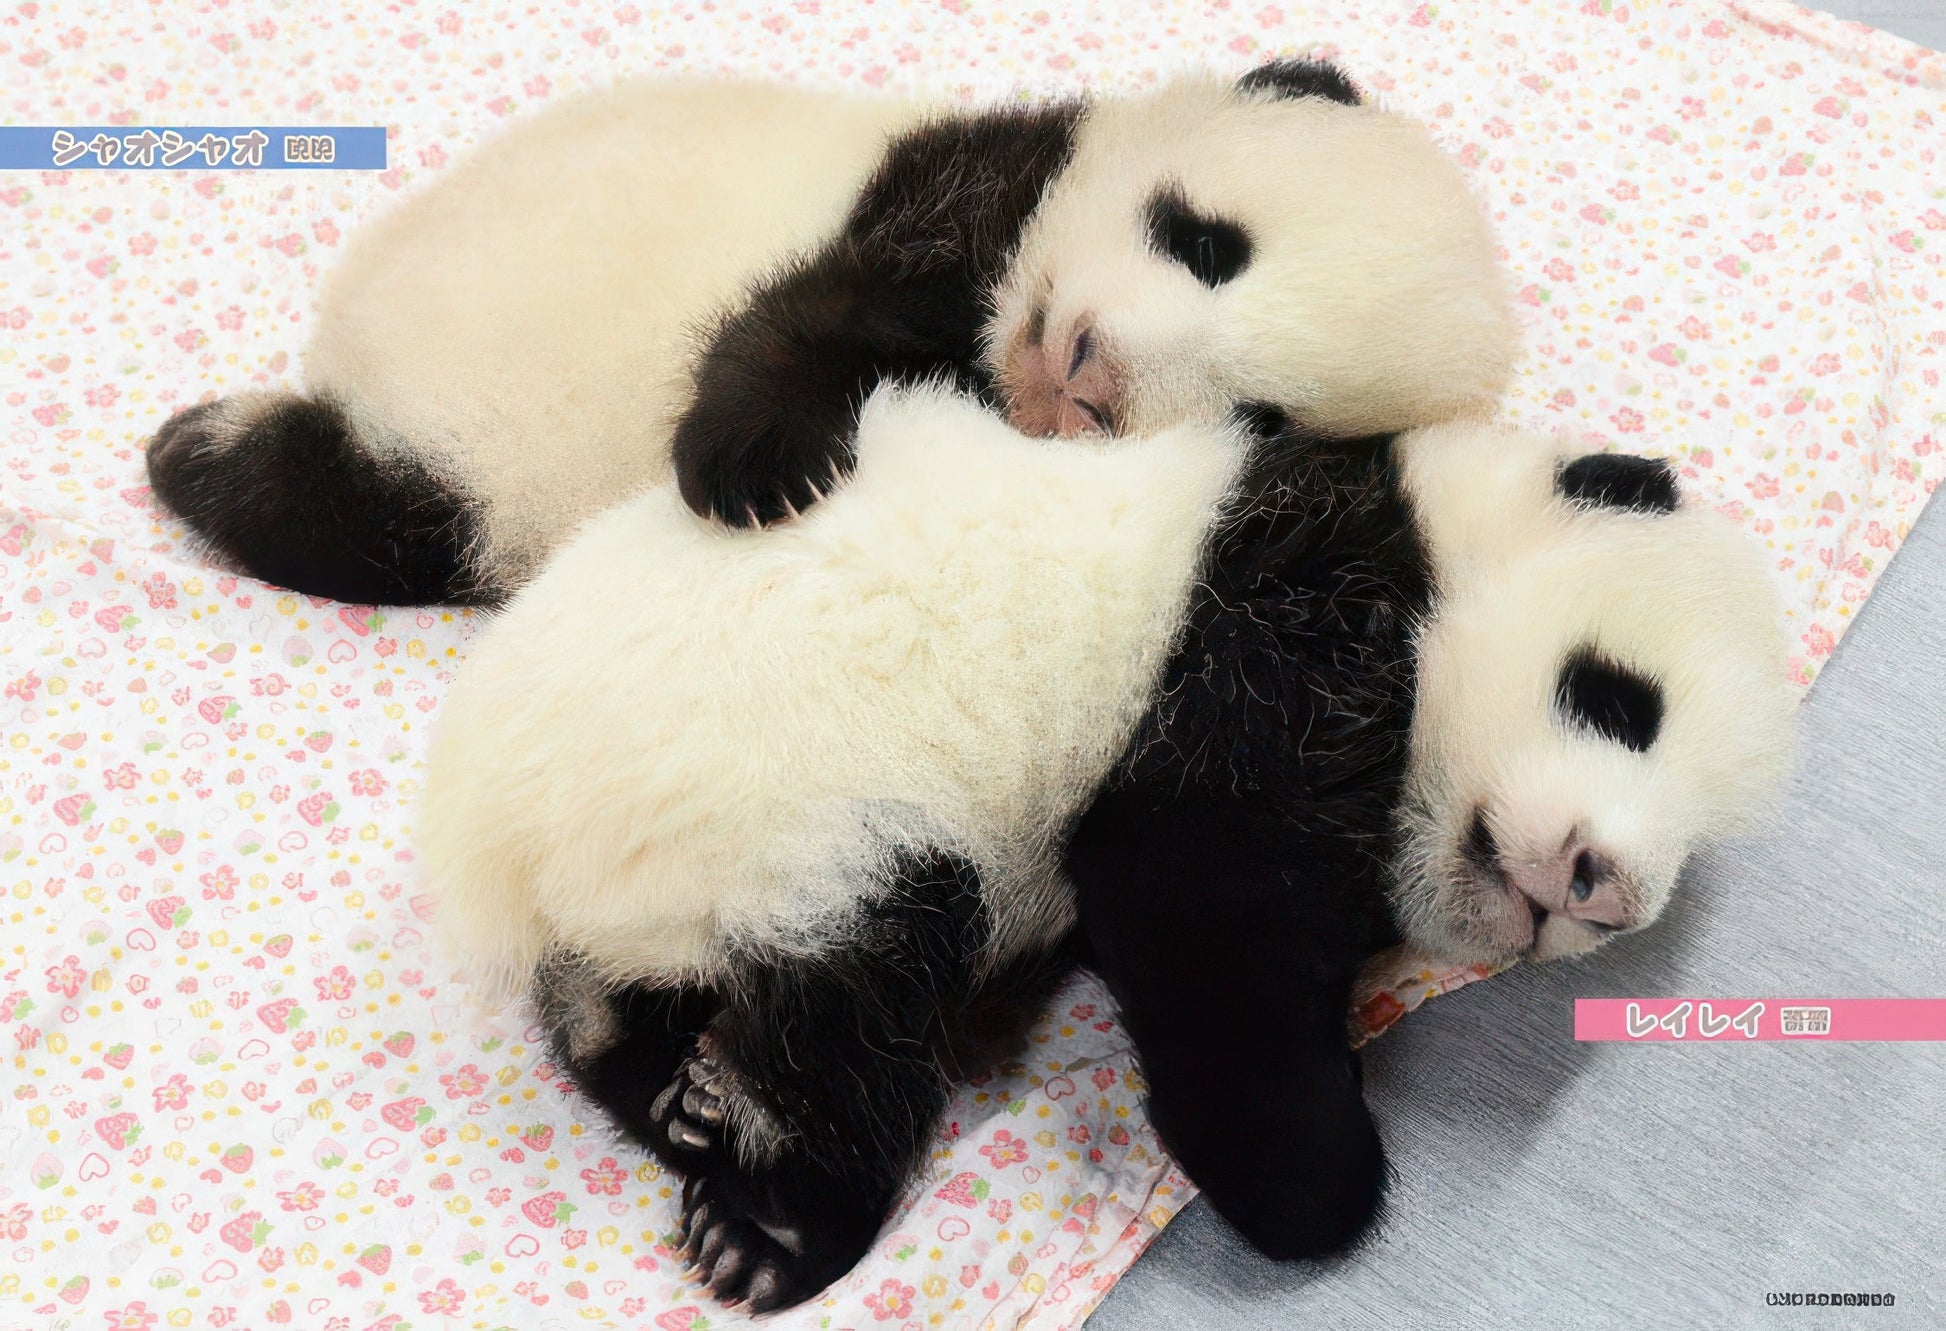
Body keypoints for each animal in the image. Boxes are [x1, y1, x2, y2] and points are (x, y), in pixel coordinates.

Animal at [142, 60, 1514, 604]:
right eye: (1205, 241)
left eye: (1259, 413)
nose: (1087, 374)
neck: (991, 354)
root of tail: (350, 338)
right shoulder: (968, 189)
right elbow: (801, 319)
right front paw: (755, 468)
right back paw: (190, 438)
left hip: (475, 485)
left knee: (355, 509)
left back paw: (211, 450)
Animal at [418, 387, 1794, 1310]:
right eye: (1617, 698)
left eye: (1685, 846)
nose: (1604, 893)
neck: (1428, 537)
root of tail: (496, 836)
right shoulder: (1290, 616)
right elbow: (1196, 898)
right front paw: (1316, 1185)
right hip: (797, 805)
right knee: (865, 991)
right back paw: (770, 1216)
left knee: (629, 1004)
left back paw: (679, 1094)